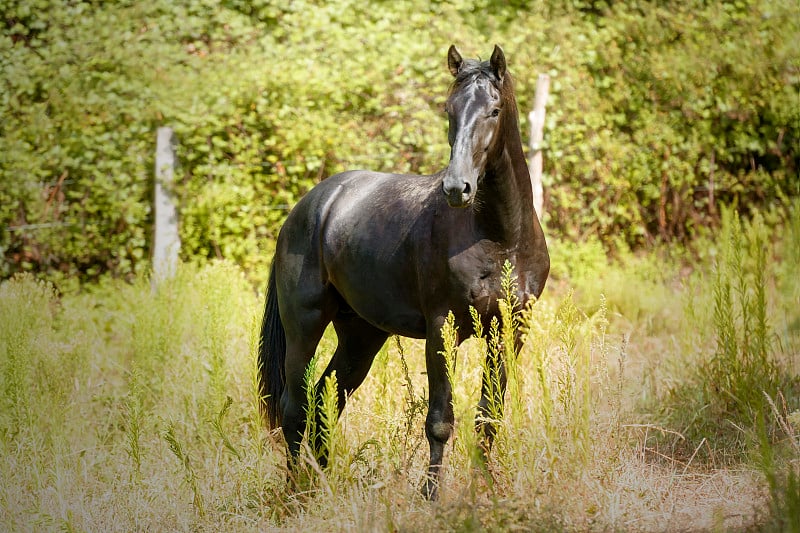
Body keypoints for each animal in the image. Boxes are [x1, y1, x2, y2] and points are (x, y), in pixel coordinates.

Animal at [260, 45, 548, 498]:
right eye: (449, 109)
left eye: (494, 109)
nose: (457, 188)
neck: (500, 237)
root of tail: (310, 206)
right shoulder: (441, 329)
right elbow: (440, 421)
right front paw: (430, 495)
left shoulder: (509, 331)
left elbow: (489, 418)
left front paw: (487, 491)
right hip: (304, 326)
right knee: (295, 407)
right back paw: (297, 493)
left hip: (361, 335)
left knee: (325, 398)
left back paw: (322, 482)